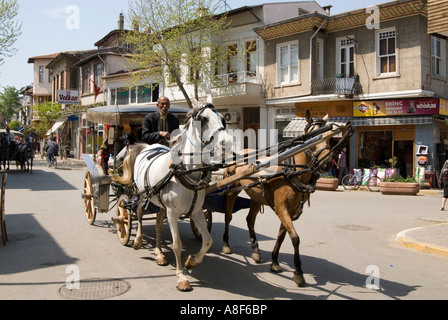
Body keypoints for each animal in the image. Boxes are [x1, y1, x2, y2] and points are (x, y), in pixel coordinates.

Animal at [113, 104, 231, 292]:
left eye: (222, 119)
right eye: (203, 119)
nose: (226, 142)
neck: (187, 172)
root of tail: (146, 147)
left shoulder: (197, 212)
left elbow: (208, 240)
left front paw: (191, 262)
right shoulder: (173, 213)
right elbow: (177, 245)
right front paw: (181, 277)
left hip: (161, 204)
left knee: (158, 225)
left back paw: (159, 253)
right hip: (141, 194)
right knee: (137, 214)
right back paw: (137, 240)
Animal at [222, 110, 334, 288]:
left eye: (329, 137)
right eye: (311, 137)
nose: (327, 164)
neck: (292, 171)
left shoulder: (291, 210)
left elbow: (282, 235)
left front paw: (274, 261)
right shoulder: (282, 208)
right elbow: (295, 238)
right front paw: (298, 272)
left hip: (256, 197)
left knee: (250, 220)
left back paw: (255, 250)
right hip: (231, 191)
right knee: (228, 216)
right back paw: (226, 244)